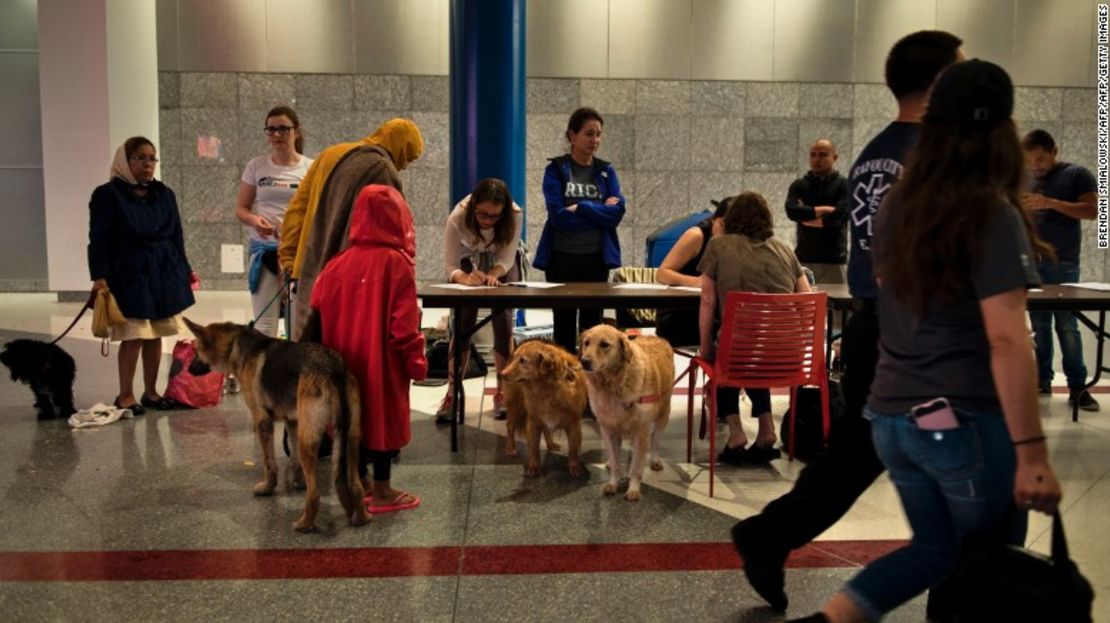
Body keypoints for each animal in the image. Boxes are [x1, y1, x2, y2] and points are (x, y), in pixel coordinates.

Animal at [182, 317, 368, 533]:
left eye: (196, 350)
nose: (188, 370)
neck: (236, 344)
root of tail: (333, 366)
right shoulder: (293, 423)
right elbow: (294, 460)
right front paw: (297, 482)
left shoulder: (263, 423)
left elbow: (269, 463)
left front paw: (268, 488)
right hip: (351, 439)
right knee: (355, 485)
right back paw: (361, 518)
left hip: (309, 442)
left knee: (315, 493)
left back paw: (305, 524)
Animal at [501, 339, 590, 475]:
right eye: (516, 358)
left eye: (523, 360)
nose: (502, 373)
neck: (548, 390)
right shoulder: (533, 420)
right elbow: (533, 448)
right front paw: (533, 466)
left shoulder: (574, 423)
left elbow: (573, 448)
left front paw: (574, 466)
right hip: (516, 406)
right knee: (510, 426)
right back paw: (510, 448)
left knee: (546, 430)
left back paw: (551, 444)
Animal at [581, 326, 674, 499]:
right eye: (586, 343)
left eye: (604, 345)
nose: (584, 361)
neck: (612, 386)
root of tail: (654, 336)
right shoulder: (608, 430)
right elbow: (616, 462)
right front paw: (613, 483)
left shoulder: (641, 431)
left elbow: (637, 467)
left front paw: (633, 489)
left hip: (663, 413)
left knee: (655, 439)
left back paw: (655, 460)